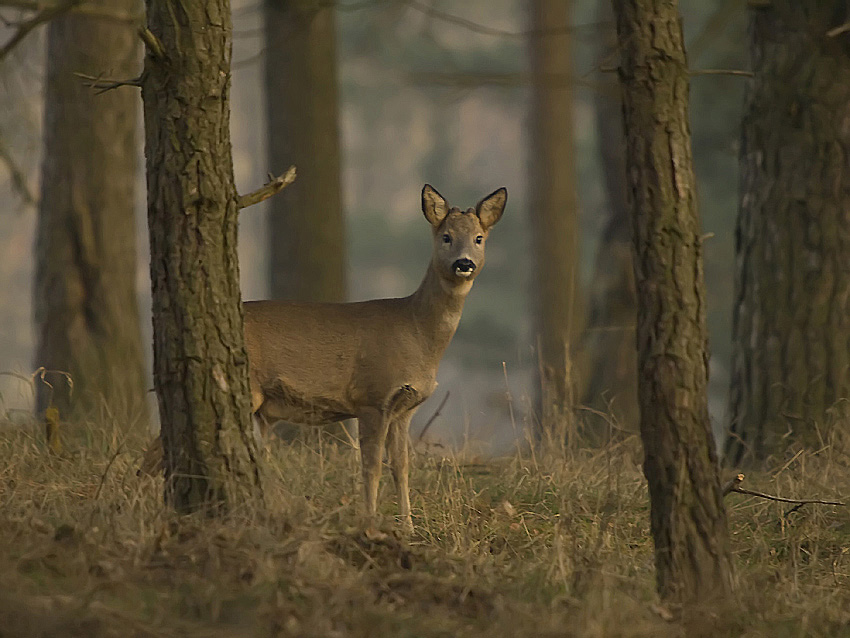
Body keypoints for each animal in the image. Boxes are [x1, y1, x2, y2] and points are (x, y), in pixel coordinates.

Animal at [245, 184, 504, 528]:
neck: (415, 331)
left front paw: (408, 526)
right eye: (446, 236)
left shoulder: (404, 408)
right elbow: (371, 467)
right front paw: (369, 521)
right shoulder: (372, 396)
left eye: (478, 238)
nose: (464, 264)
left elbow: (401, 466)